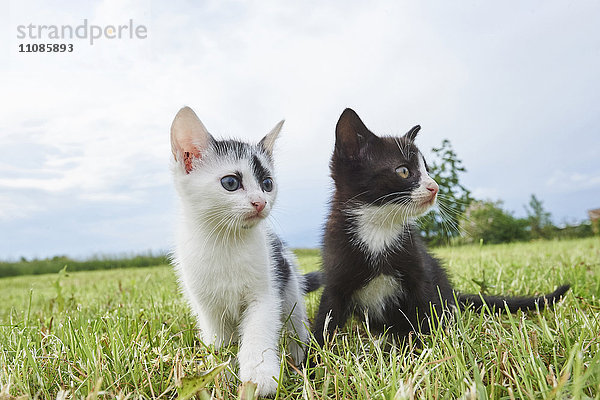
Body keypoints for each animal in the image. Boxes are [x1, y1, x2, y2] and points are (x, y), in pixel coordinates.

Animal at [171, 104, 322, 396]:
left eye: (268, 183)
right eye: (230, 183)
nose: (260, 202)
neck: (225, 243)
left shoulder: (264, 295)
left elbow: (257, 332)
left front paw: (259, 376)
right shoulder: (208, 308)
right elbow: (219, 344)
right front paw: (222, 376)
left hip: (289, 289)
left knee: (295, 328)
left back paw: (298, 362)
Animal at [312, 108, 568, 346]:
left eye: (428, 170)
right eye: (403, 171)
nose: (434, 187)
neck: (378, 228)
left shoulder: (420, 273)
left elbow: (427, 311)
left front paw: (430, 349)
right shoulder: (335, 278)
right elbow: (325, 321)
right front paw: (312, 360)